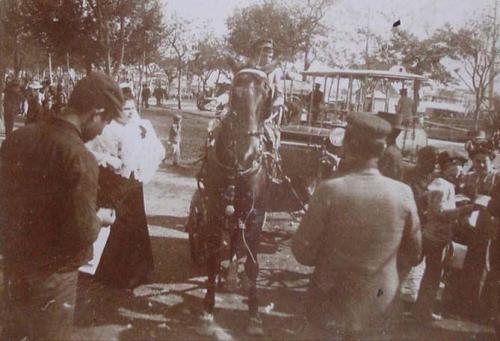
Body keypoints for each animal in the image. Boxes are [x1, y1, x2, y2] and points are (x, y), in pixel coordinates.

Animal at [196, 67, 274, 334]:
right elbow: (212, 257)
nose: (247, 152)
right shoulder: (213, 210)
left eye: (266, 92)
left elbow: (252, 264)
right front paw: (208, 308)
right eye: (233, 93)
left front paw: (254, 314)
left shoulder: (256, 214)